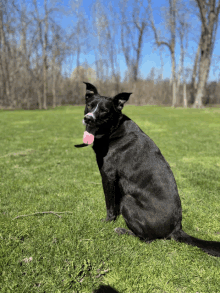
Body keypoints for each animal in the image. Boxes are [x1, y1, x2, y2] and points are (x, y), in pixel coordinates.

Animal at [74, 81, 220, 256]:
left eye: (104, 111)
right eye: (89, 105)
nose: (88, 119)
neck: (114, 130)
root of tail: (176, 229)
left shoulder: (108, 176)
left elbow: (109, 204)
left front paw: (108, 221)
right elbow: (114, 204)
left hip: (128, 200)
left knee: (147, 239)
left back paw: (123, 231)